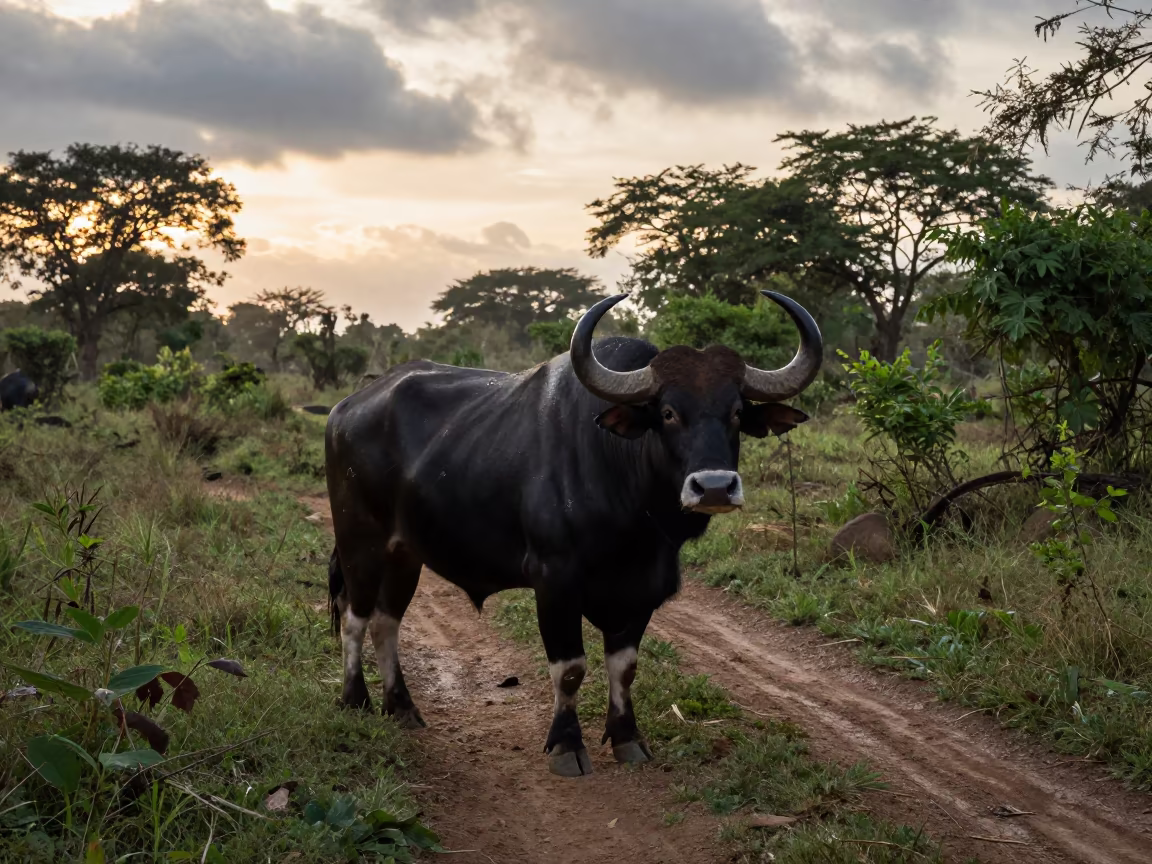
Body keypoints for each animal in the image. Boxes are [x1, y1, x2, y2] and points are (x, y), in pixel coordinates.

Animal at [325, 290, 821, 776]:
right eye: (667, 412)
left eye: (736, 412)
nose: (714, 486)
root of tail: (345, 409)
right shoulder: (555, 583)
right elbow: (569, 669)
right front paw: (566, 745)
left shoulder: (642, 590)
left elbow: (625, 668)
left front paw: (627, 738)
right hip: (359, 543)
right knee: (355, 615)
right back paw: (354, 700)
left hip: (405, 554)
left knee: (386, 621)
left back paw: (402, 708)